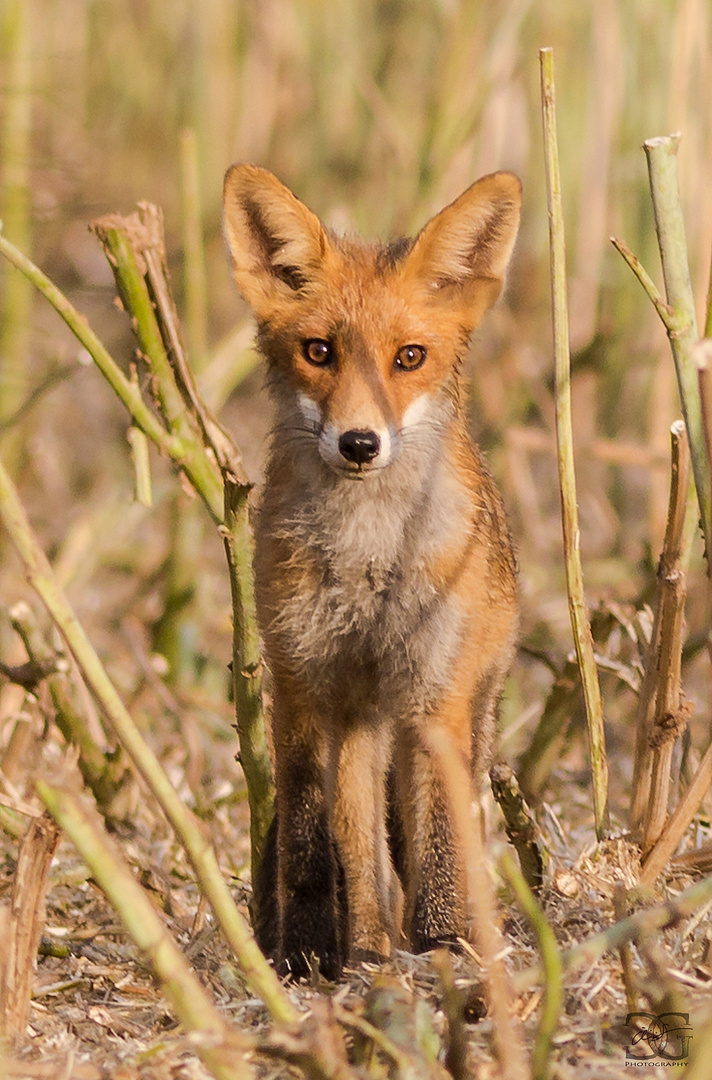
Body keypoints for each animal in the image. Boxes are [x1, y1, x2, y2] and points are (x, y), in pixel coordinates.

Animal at [224, 159, 522, 980]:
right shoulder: (301, 680)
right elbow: (308, 839)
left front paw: (448, 952)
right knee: (357, 841)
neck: (367, 565)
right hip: (356, 722)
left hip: (466, 703)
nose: (360, 443)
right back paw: (365, 946)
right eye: (318, 351)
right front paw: (306, 954)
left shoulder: (433, 698)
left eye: (409, 357)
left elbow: (443, 845)